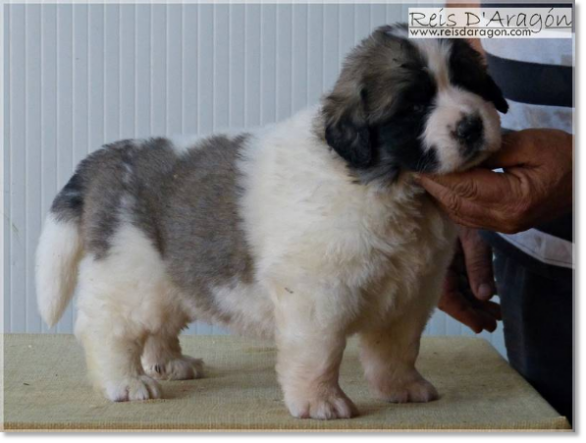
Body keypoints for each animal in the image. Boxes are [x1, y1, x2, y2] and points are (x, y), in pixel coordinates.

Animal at [34, 26, 504, 422]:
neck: (386, 185)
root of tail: (103, 159)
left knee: (154, 324)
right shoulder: (318, 294)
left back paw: (169, 363)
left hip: (167, 278)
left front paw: (404, 387)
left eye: (471, 84)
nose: (470, 125)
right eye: (416, 106)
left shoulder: (409, 294)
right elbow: (319, 352)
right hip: (129, 273)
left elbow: (398, 349)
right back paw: (127, 382)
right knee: (106, 328)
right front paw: (320, 402)